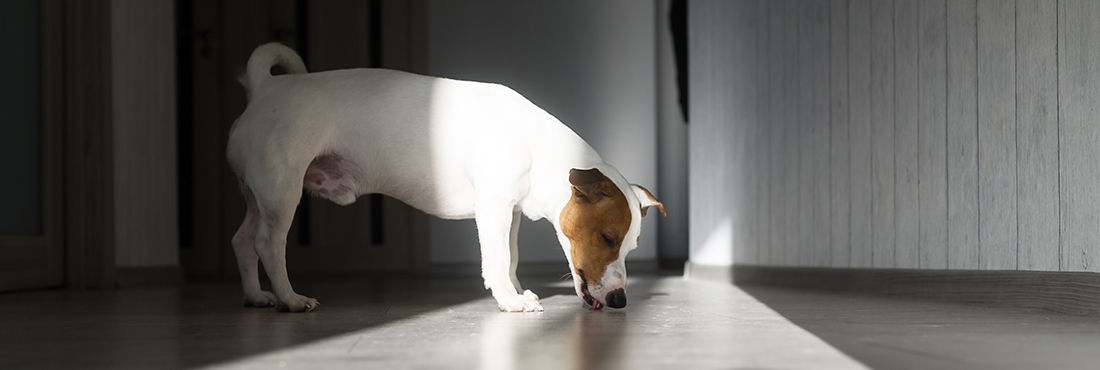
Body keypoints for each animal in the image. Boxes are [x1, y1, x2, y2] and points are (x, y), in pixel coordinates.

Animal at [223, 42, 660, 312]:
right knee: (267, 243)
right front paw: (510, 300)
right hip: (281, 193)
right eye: (607, 238)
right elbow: (498, 258)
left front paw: (516, 290)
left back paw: (256, 296)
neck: (537, 146)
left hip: (257, 195)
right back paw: (289, 298)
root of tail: (265, 89)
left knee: (242, 239)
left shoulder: (511, 214)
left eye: (631, 247)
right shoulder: (493, 210)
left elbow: (512, 256)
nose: (621, 301)